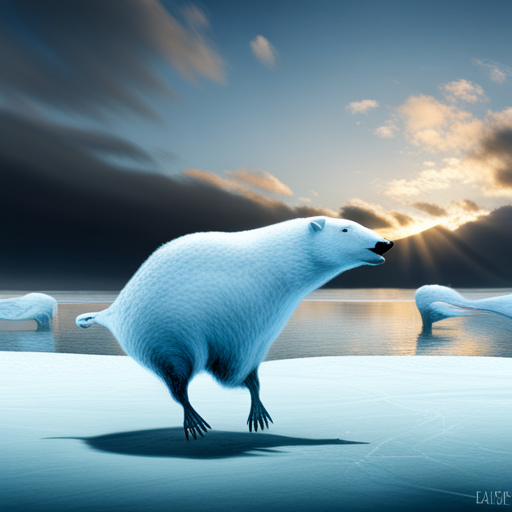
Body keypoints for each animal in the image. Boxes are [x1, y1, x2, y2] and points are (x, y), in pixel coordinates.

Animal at [78, 217, 394, 440]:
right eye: (345, 229)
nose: (385, 243)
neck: (276, 265)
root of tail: (115, 308)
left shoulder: (258, 320)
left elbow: (241, 366)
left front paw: (258, 410)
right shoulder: (242, 301)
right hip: (159, 327)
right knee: (175, 369)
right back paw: (194, 418)